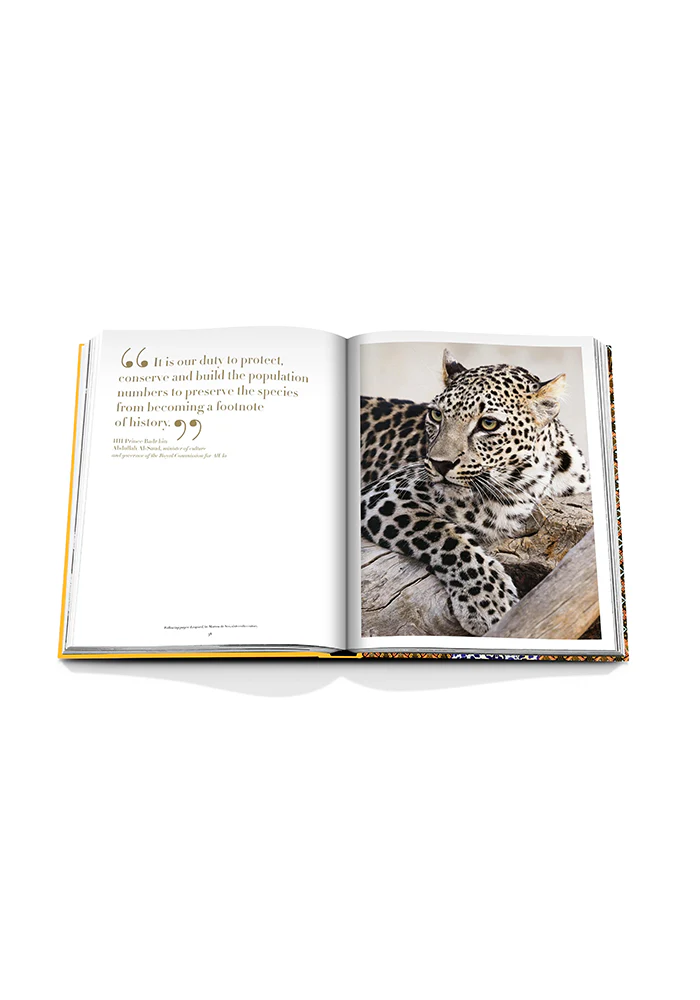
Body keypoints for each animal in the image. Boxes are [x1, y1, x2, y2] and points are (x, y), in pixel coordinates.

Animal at [360, 350, 590, 636]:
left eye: (488, 423)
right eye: (437, 415)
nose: (440, 464)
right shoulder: (386, 494)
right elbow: (447, 537)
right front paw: (489, 602)